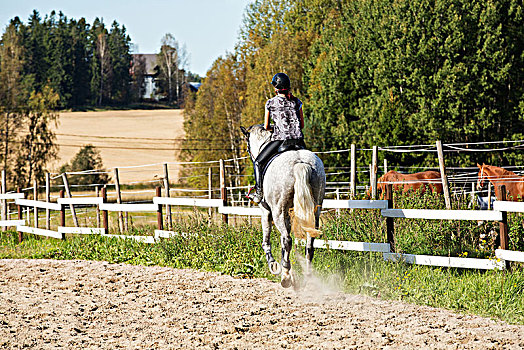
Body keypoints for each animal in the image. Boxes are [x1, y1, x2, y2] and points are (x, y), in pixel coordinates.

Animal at [241, 124, 324, 288]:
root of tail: (300, 162)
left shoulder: (266, 211)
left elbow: (267, 241)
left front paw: (275, 265)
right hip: (315, 210)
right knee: (309, 243)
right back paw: (307, 277)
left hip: (277, 211)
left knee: (288, 240)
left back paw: (285, 276)